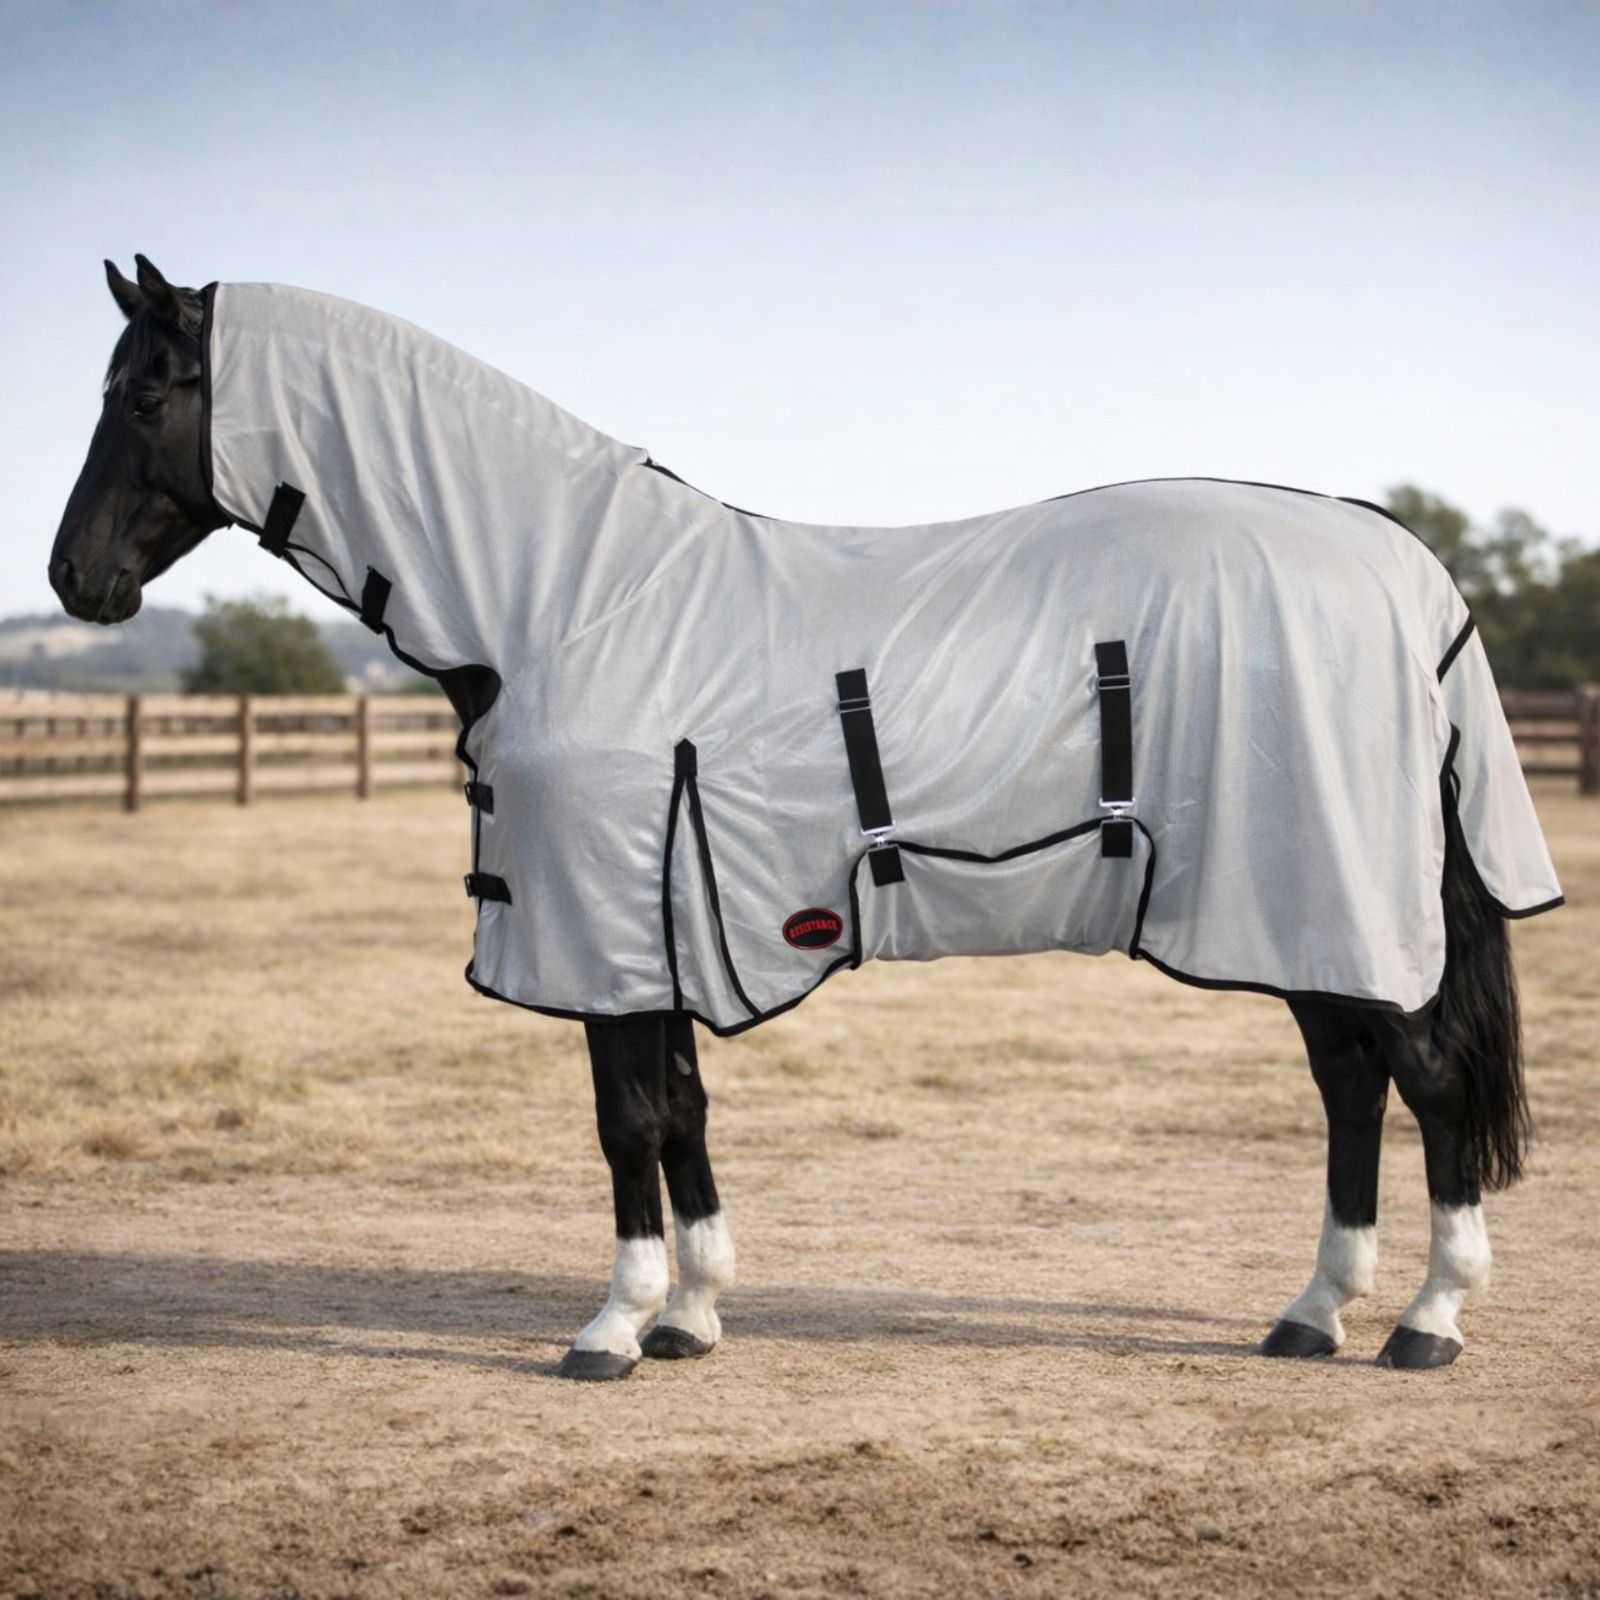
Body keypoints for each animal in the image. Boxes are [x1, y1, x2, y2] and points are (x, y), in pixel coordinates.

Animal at [50, 256, 1562, 1379]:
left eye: (147, 389)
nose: (74, 581)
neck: (565, 598)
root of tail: (1406, 565)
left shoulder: (608, 928)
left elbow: (626, 1123)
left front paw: (612, 1327)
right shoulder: (656, 925)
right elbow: (681, 1111)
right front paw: (692, 1315)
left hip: (1332, 901)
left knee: (1426, 1081)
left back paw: (1427, 1321)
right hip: (1301, 913)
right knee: (1353, 1086)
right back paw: (1313, 1312)